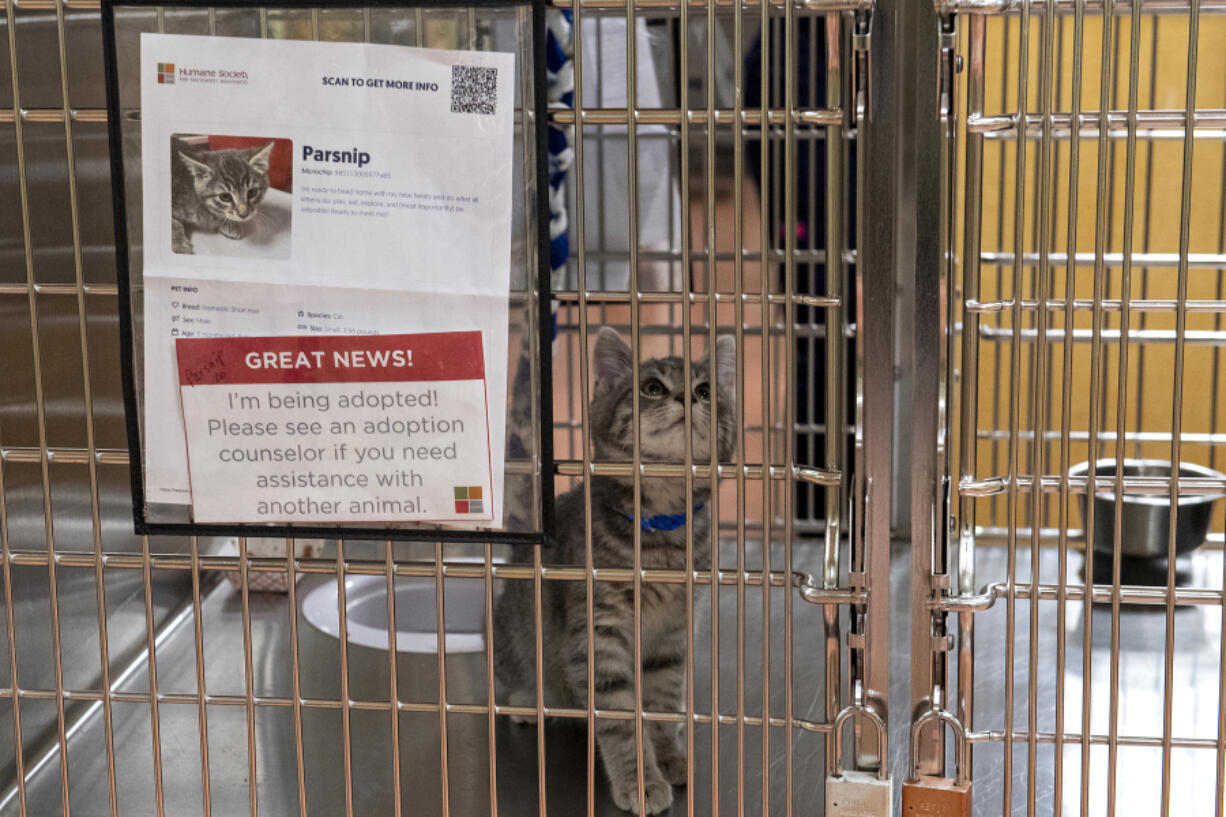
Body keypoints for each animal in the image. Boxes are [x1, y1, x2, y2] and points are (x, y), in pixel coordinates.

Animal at [492, 323, 730, 809]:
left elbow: (660, 702)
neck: (661, 531)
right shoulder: (599, 635)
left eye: (705, 390)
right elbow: (619, 715)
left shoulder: (673, 634)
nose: (687, 398)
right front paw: (640, 780)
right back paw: (528, 698)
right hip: (512, 633)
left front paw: (668, 755)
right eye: (652, 388)